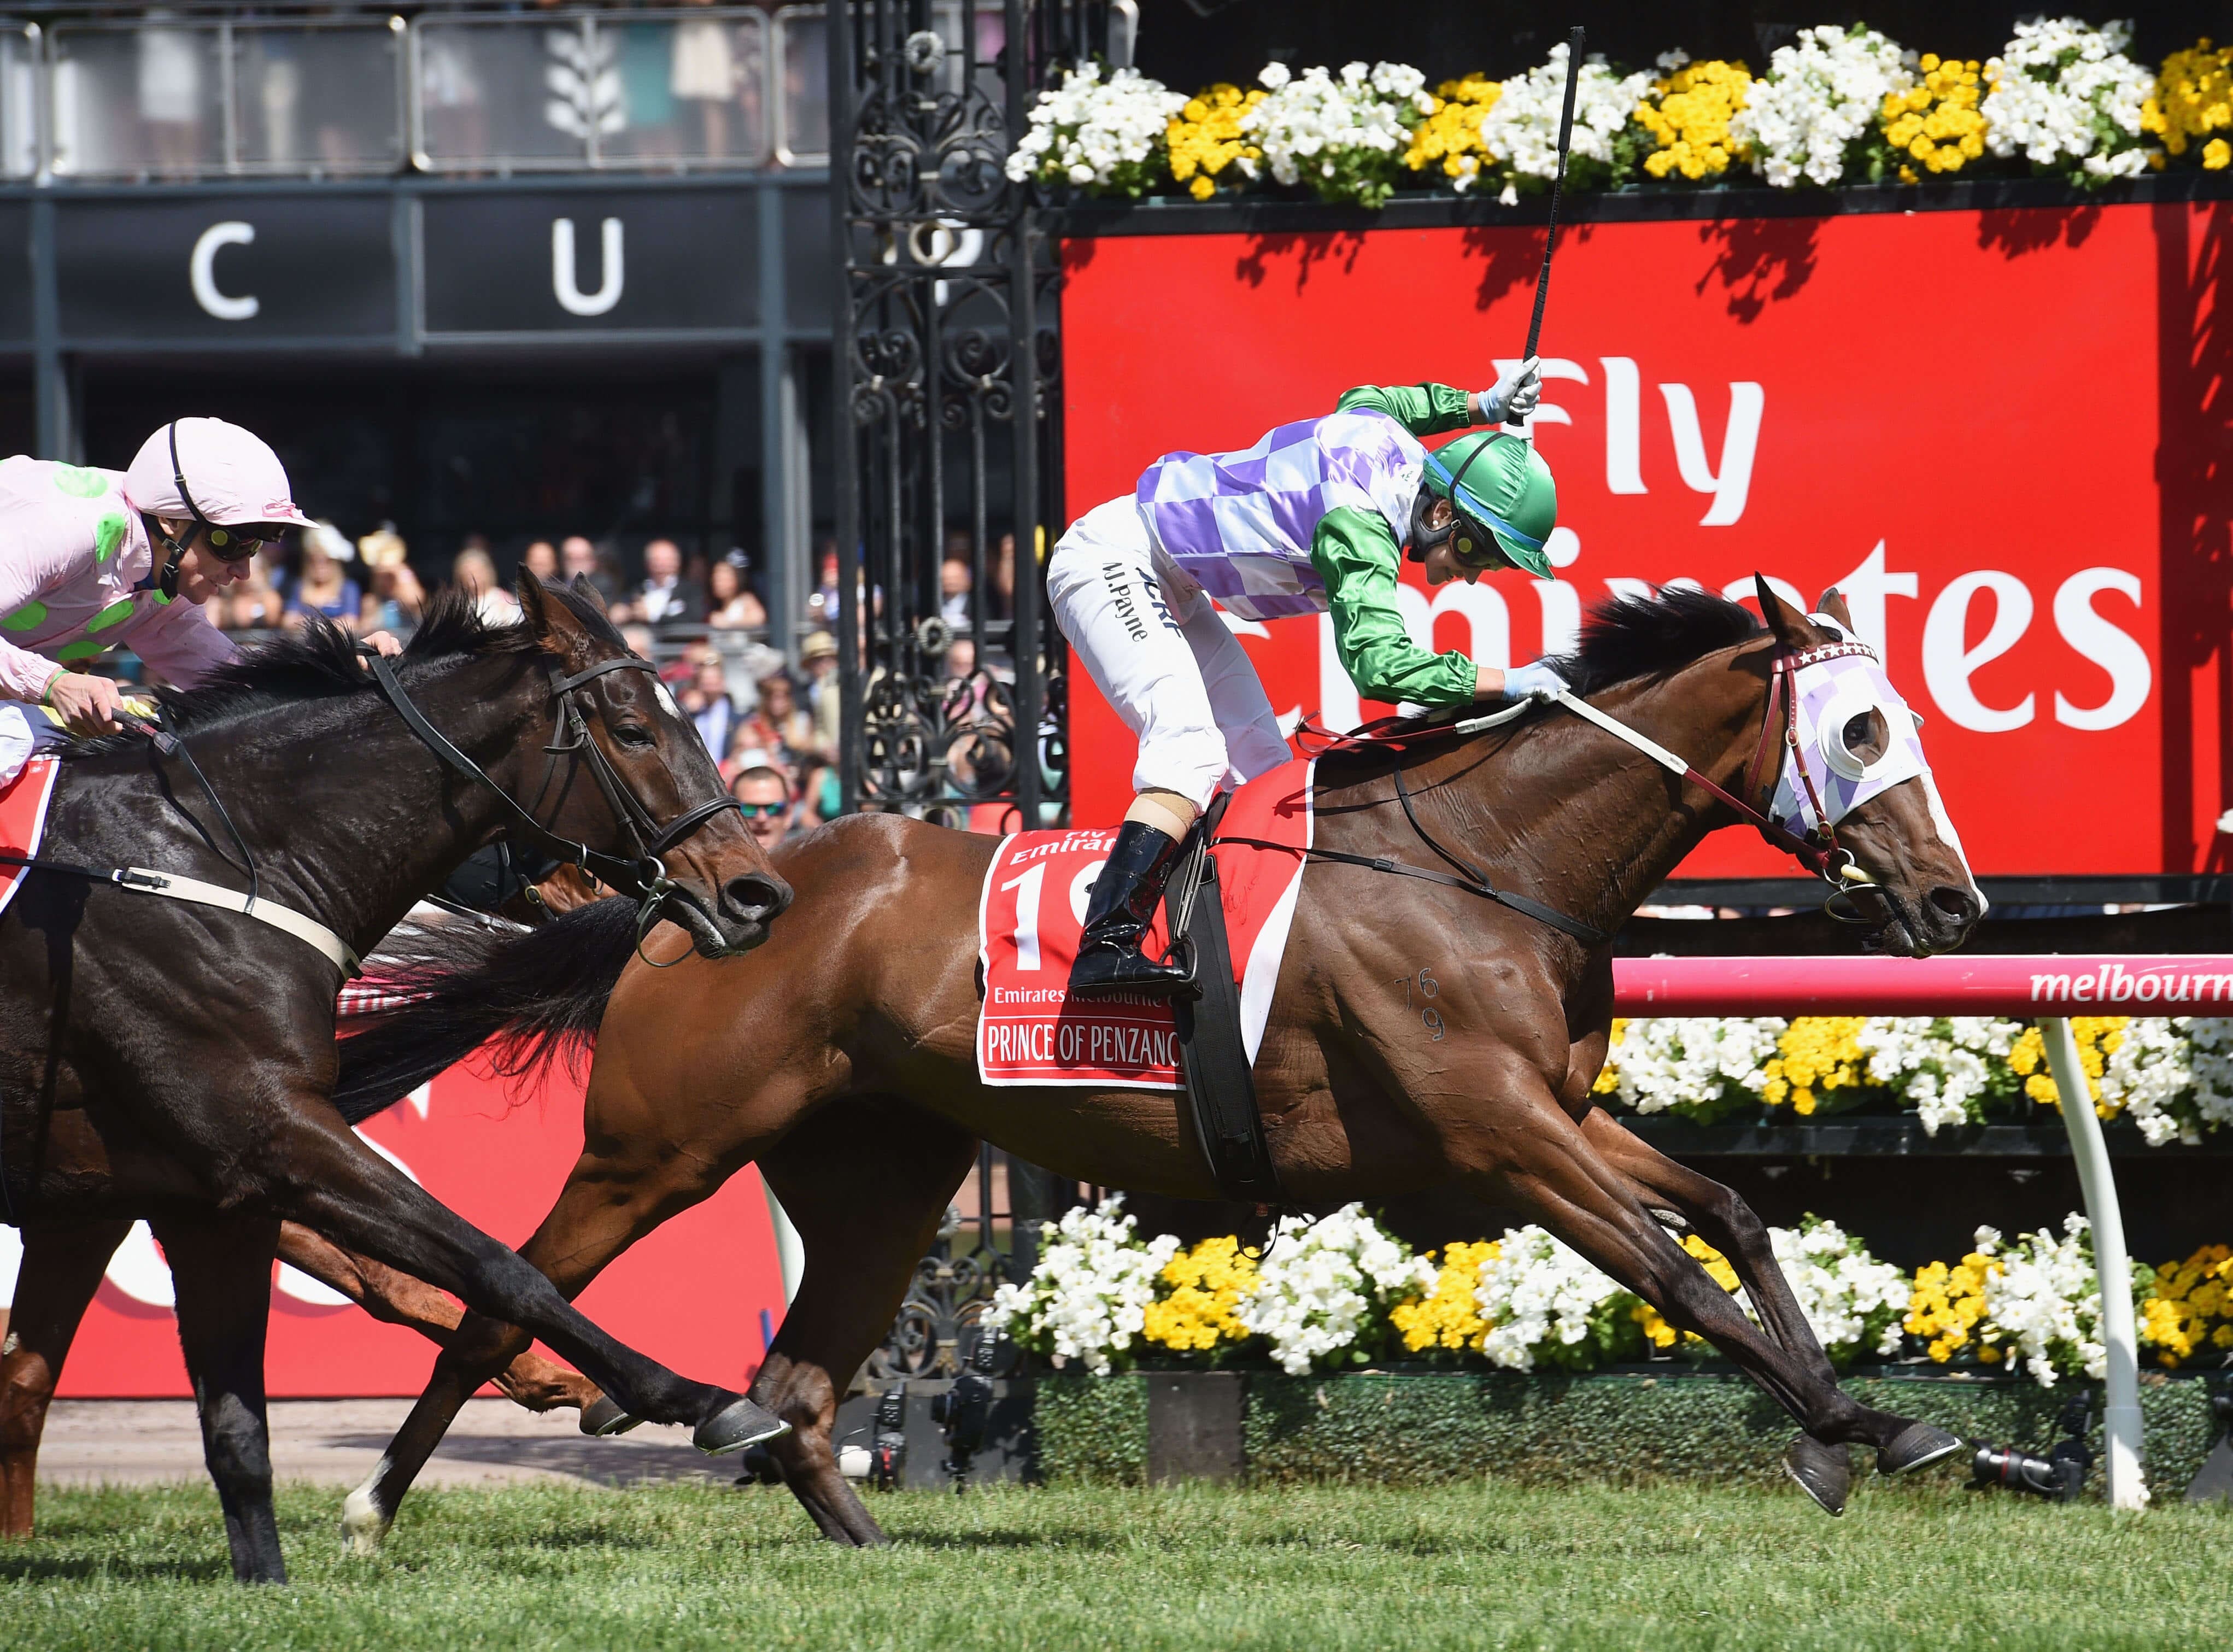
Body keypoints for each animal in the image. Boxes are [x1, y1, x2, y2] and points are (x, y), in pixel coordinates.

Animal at [0, 576, 795, 1580]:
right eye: (633, 729)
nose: (758, 893)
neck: (203, 863)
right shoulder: (265, 1132)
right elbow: (498, 1266)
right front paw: (691, 1396)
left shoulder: (186, 1185)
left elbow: (237, 1405)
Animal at [324, 584, 1983, 1544]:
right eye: (1860, 724)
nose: (1955, 901)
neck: (1484, 858)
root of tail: (701, 890)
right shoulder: (1497, 1130)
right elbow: (1671, 1268)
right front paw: (1863, 1430)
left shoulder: (1555, 1108)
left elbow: (1729, 1210)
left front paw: (1865, 1427)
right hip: (655, 1147)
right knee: (503, 1294)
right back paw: (372, 1500)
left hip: (885, 1170)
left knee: (796, 1384)